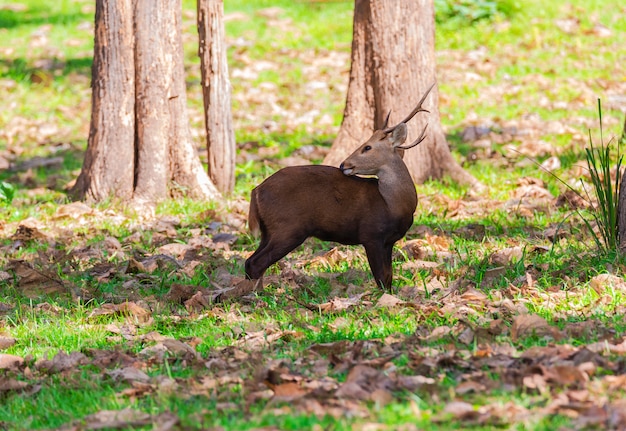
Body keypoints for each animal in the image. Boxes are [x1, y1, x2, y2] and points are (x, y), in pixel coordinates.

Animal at [244, 82, 434, 292]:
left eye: (367, 147)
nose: (344, 164)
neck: (394, 203)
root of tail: (256, 191)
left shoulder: (388, 241)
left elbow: (388, 277)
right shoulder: (371, 234)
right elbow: (381, 278)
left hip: (269, 230)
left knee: (250, 260)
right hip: (288, 226)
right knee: (256, 262)